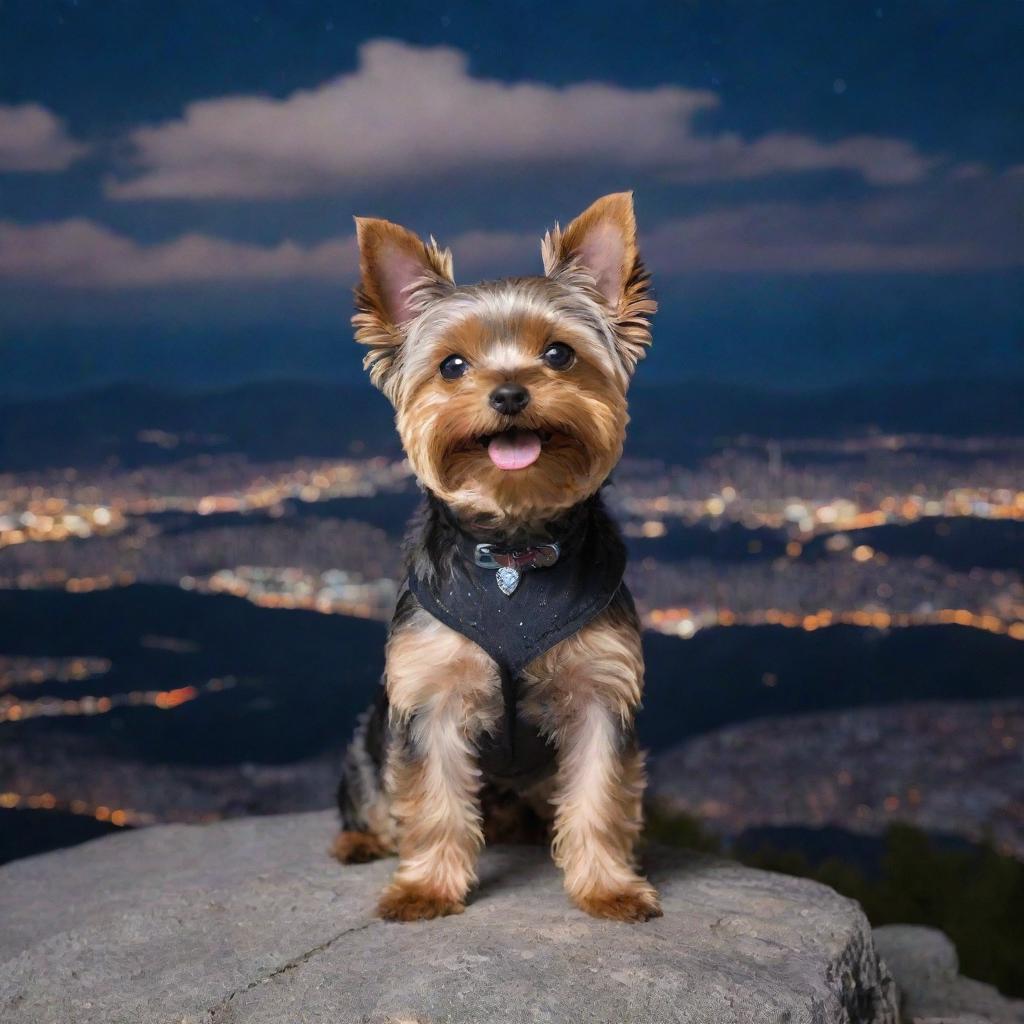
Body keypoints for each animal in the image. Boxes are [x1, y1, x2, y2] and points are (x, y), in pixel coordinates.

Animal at [331, 192, 659, 921]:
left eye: (560, 354)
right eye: (452, 365)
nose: (510, 392)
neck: (512, 544)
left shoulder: (601, 690)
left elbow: (599, 792)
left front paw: (608, 887)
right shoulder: (428, 693)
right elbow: (432, 798)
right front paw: (425, 888)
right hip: (368, 737)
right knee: (375, 794)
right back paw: (360, 840)